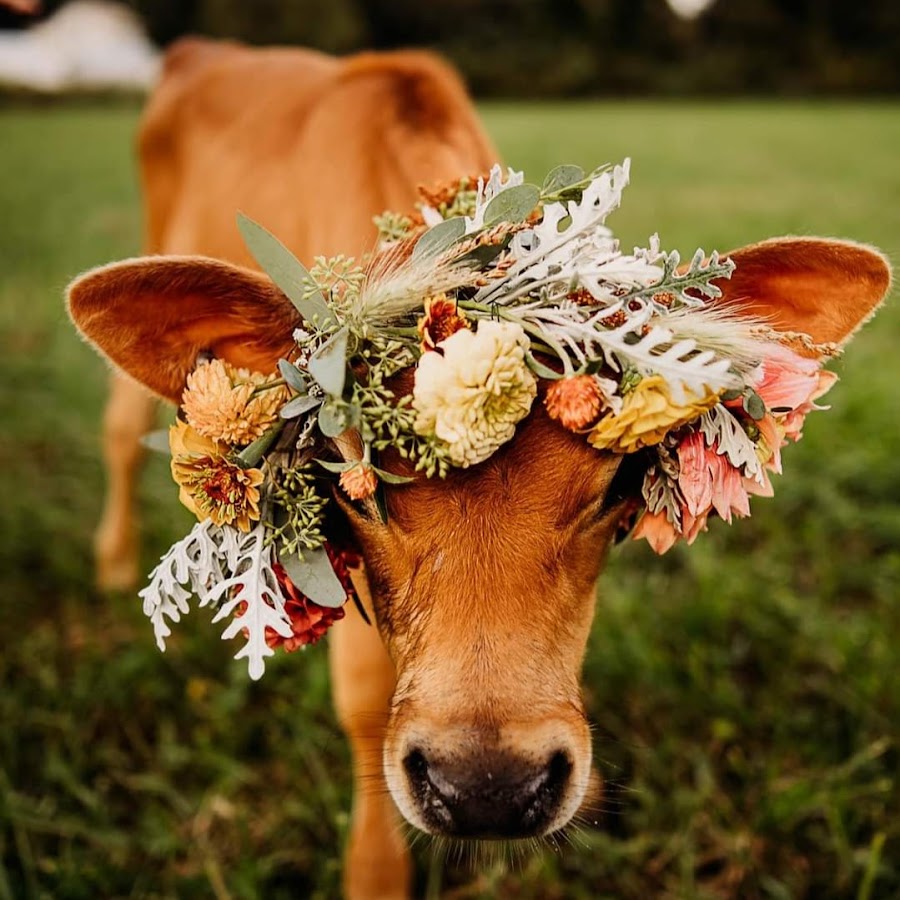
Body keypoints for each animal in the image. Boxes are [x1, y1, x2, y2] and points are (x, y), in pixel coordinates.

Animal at [70, 38, 884, 900]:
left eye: (610, 489)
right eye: (362, 493)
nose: (488, 786)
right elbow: (364, 696)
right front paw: (373, 872)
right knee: (120, 428)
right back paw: (112, 562)